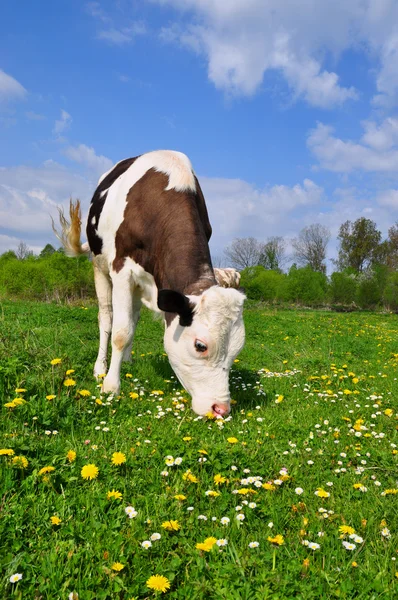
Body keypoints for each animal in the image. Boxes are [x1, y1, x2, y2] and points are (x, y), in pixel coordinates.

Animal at [54, 149, 246, 418]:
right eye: (200, 345)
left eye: (238, 348)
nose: (220, 408)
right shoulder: (121, 269)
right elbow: (120, 332)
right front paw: (110, 386)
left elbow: (130, 325)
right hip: (99, 266)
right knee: (106, 318)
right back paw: (101, 368)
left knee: (133, 317)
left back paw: (126, 360)